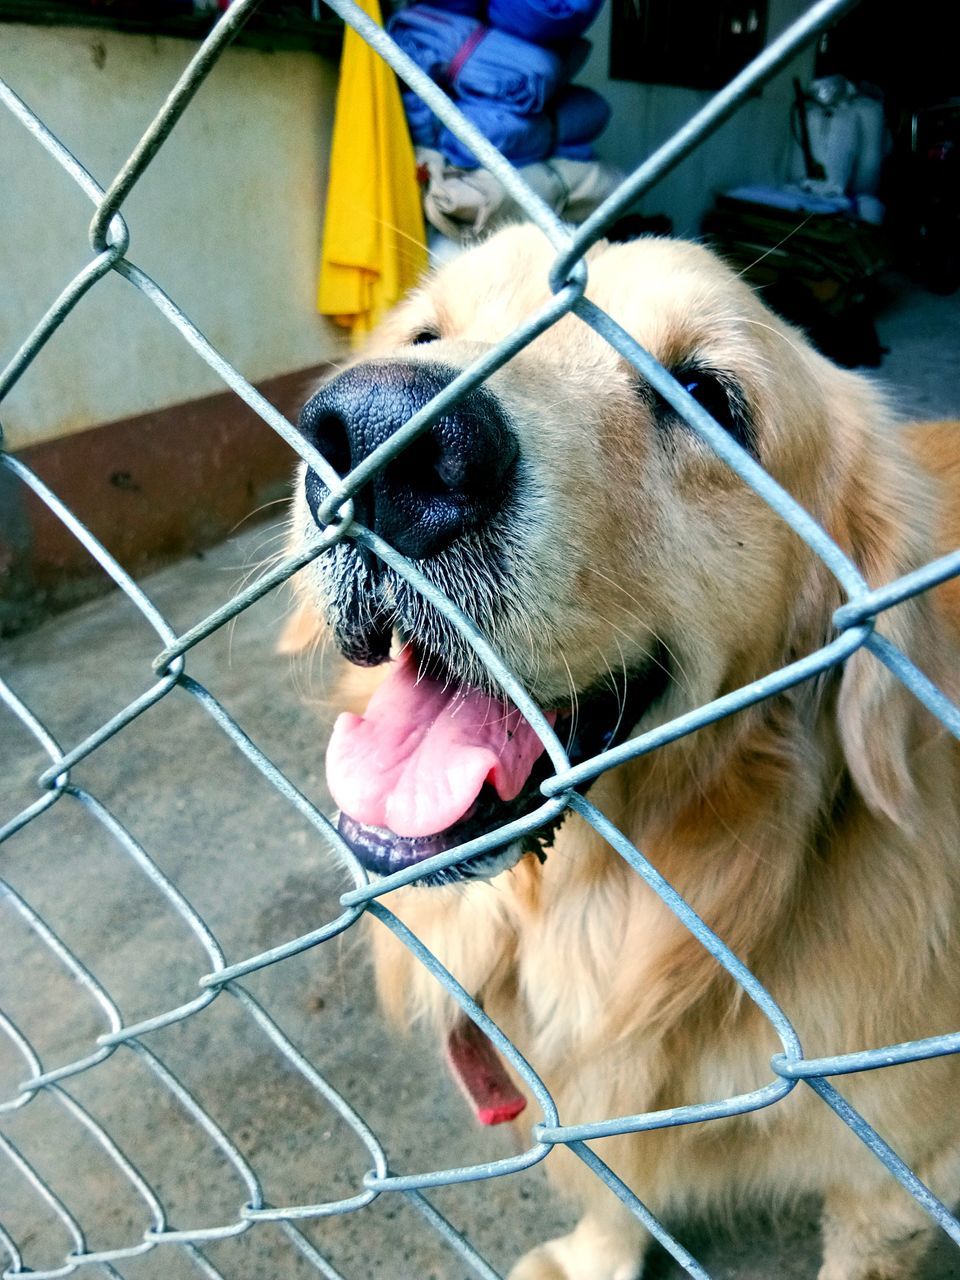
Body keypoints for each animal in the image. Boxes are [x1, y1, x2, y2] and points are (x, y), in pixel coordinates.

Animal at [285, 230, 960, 1280]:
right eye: (428, 334)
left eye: (706, 397)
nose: (375, 433)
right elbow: (611, 1184)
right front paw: (594, 1255)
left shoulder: (904, 1170)